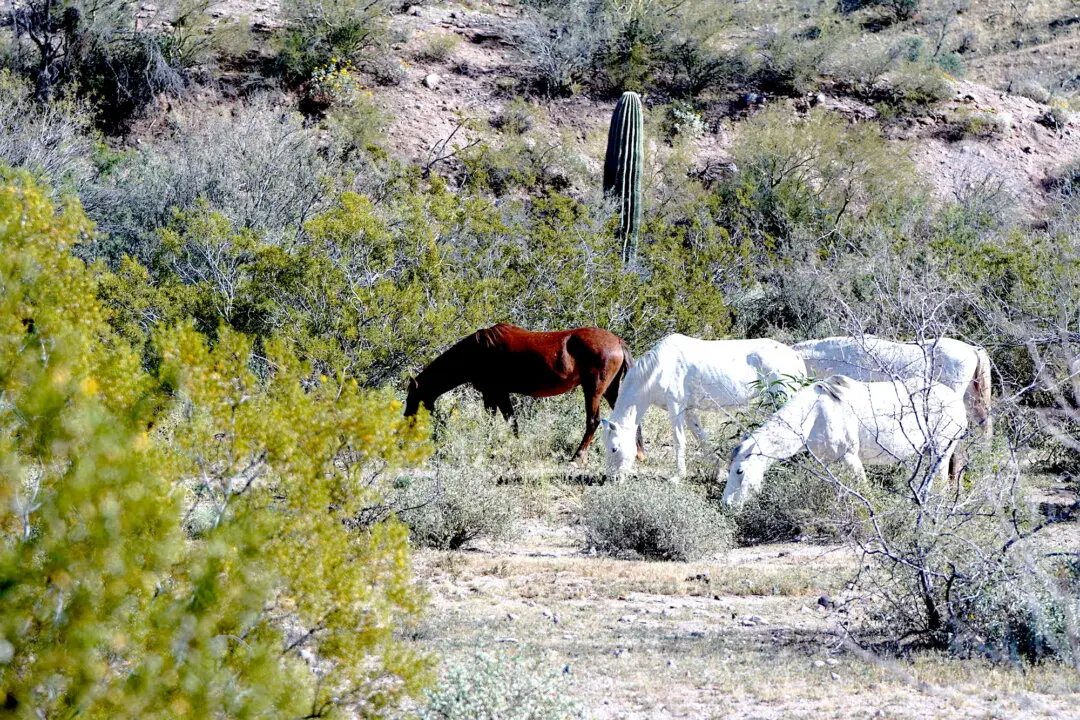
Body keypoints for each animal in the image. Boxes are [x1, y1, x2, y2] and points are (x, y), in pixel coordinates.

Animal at [404, 323, 644, 463]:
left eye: (412, 398)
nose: (406, 421)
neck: (476, 351)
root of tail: (617, 341)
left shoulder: (493, 393)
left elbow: (498, 421)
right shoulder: (499, 394)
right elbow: (511, 422)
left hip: (593, 388)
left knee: (592, 421)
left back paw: (577, 457)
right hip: (610, 389)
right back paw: (638, 453)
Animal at [600, 334, 807, 478]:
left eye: (614, 449)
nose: (612, 479)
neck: (658, 369)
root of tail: (796, 357)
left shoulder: (676, 406)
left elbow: (679, 440)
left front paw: (678, 476)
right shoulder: (689, 410)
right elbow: (702, 439)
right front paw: (719, 471)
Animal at [723, 375, 968, 507]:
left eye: (739, 471)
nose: (726, 504)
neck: (814, 414)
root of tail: (956, 400)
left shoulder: (850, 457)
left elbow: (863, 489)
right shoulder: (828, 463)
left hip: (940, 452)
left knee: (941, 482)